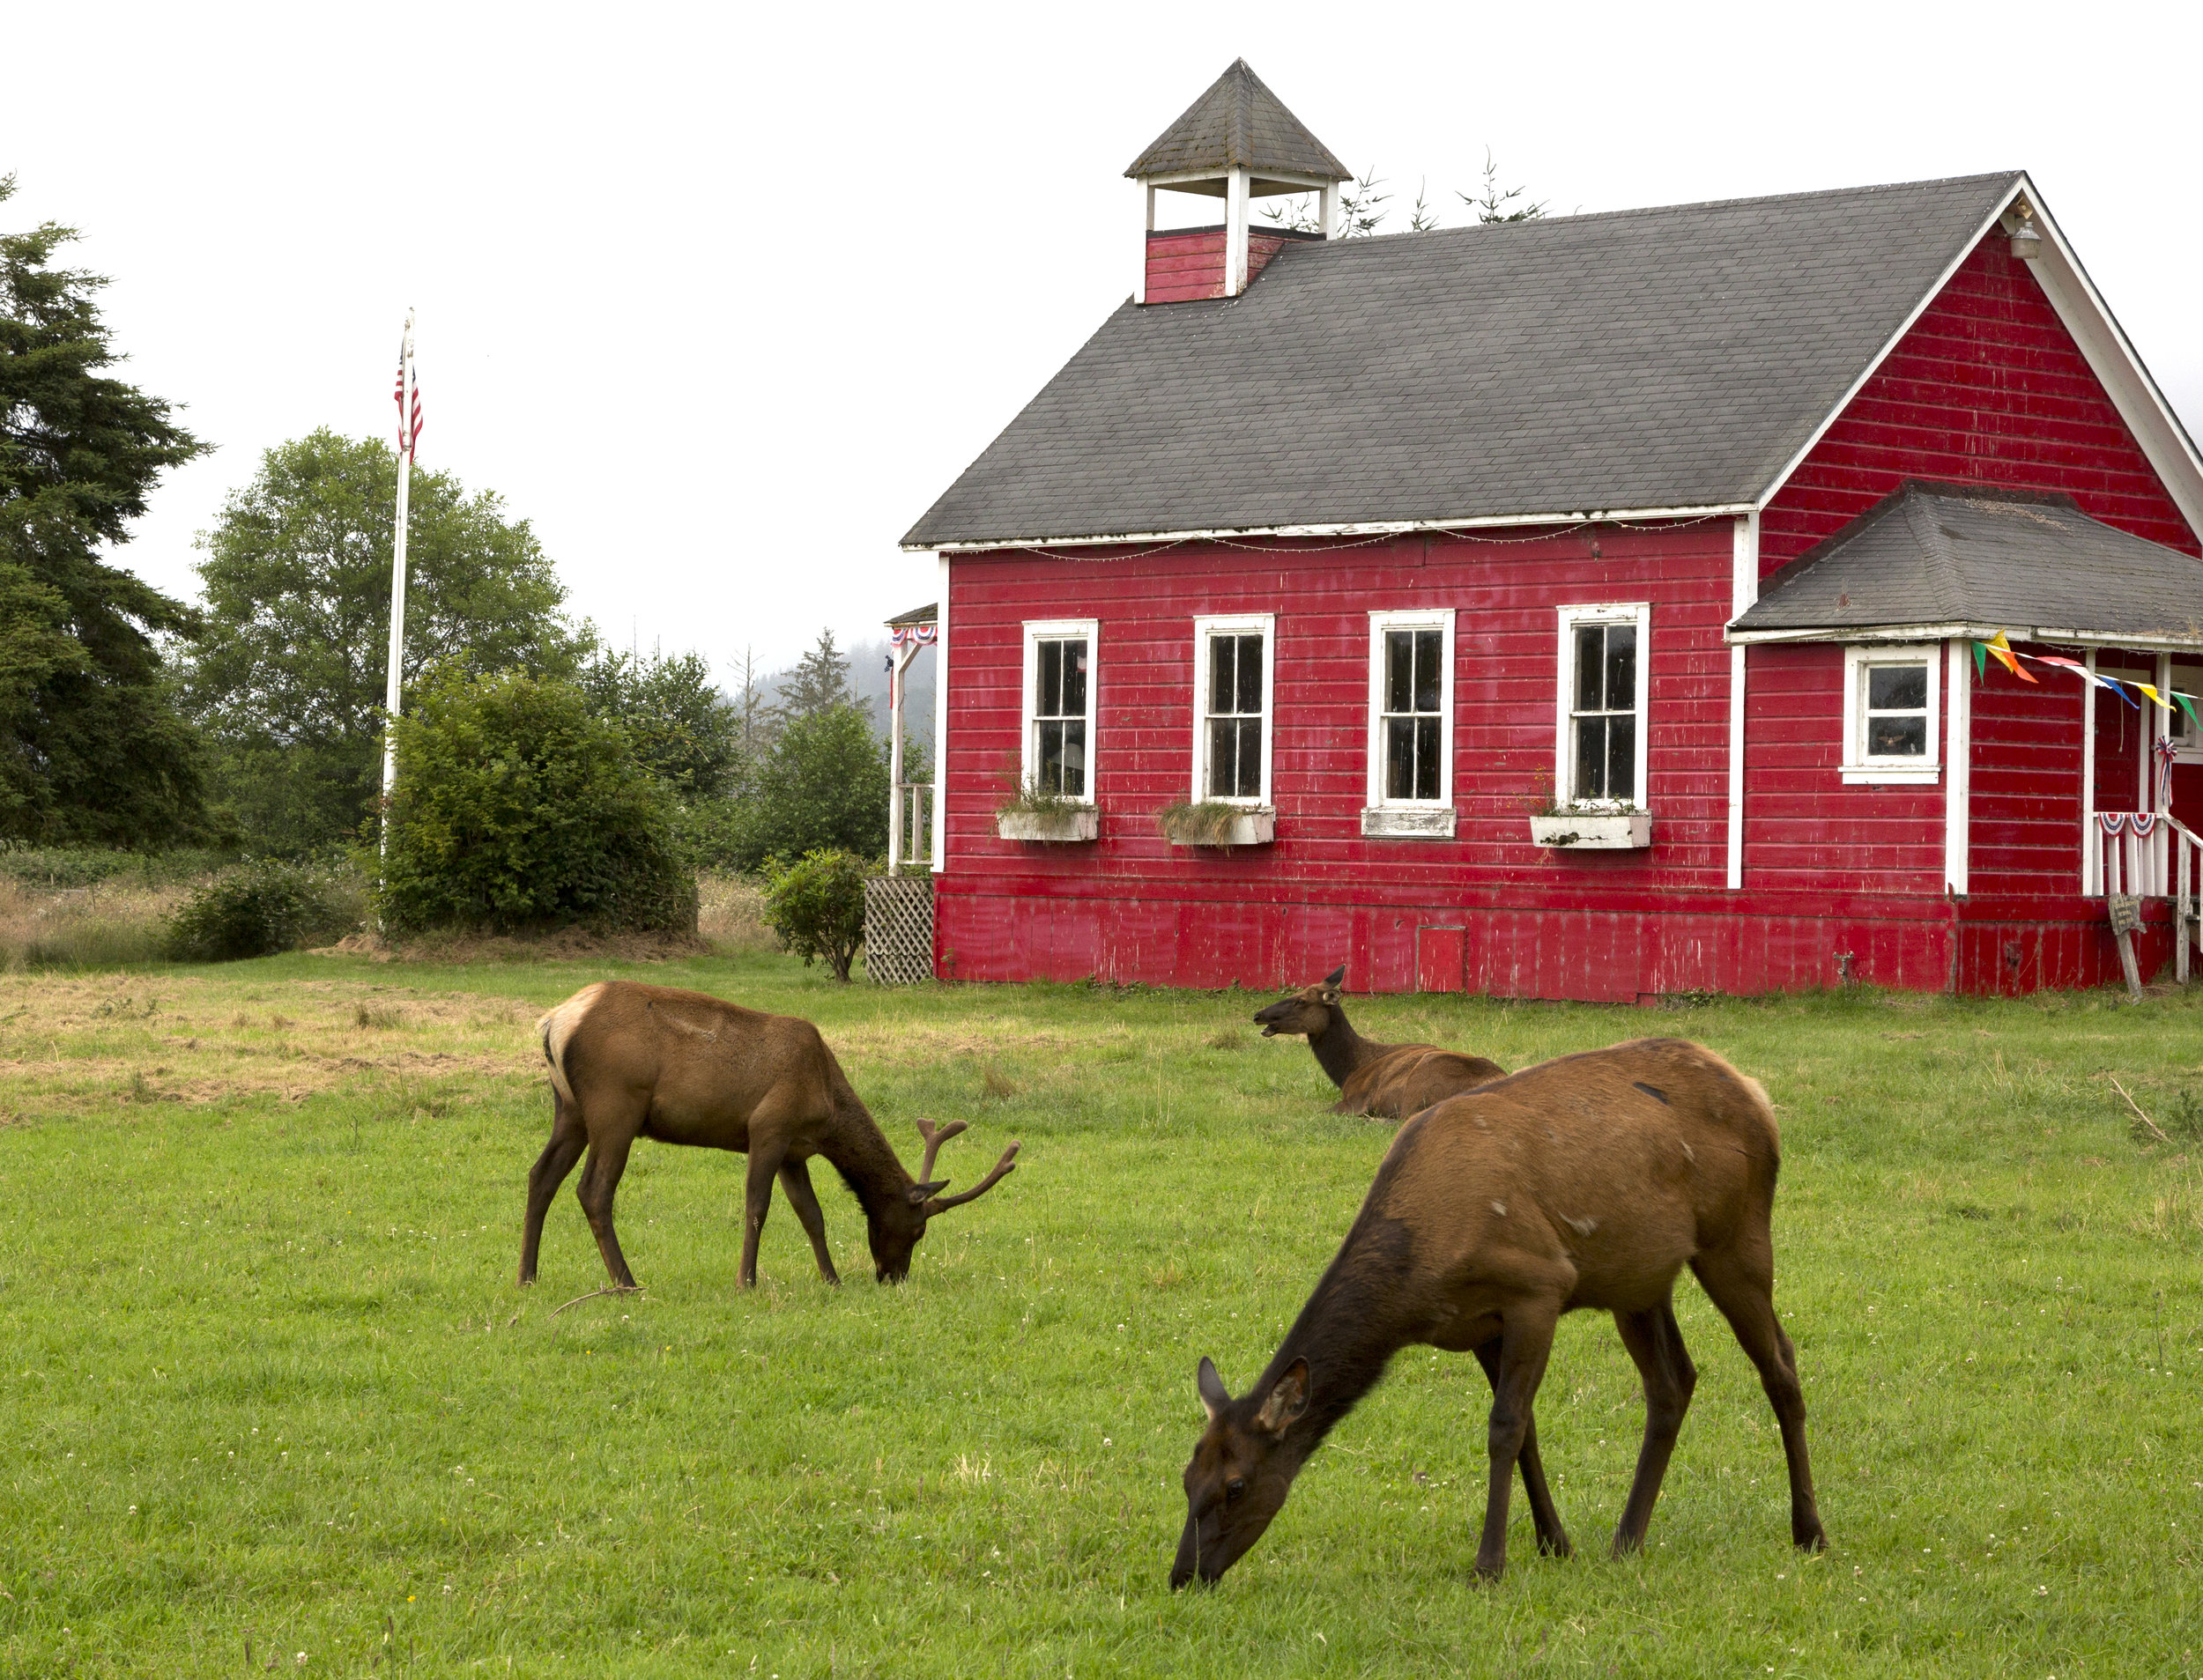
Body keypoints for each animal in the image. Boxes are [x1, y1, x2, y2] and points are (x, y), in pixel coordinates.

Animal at [522, 977, 1022, 1294]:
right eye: (918, 1230)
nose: (893, 1278)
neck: (827, 1105)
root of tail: (554, 1022)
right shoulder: (768, 1127)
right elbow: (757, 1206)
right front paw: (746, 1281)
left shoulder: (794, 1151)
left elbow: (812, 1215)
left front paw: (832, 1279)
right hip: (615, 1105)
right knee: (593, 1190)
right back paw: (627, 1282)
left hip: (570, 1108)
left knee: (540, 1176)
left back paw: (527, 1276)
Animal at [1172, 1039, 1824, 1594]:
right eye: (1186, 1476)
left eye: (1236, 1484)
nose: (1183, 1574)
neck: (1420, 1276)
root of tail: (1755, 1093)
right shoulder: (1479, 1325)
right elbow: (1527, 1430)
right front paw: (1554, 1542)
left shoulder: (1538, 1287)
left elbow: (1505, 1426)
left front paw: (1490, 1564)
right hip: (1639, 1279)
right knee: (1673, 1382)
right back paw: (1626, 1539)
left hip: (1736, 1237)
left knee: (1780, 1363)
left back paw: (1809, 1532)